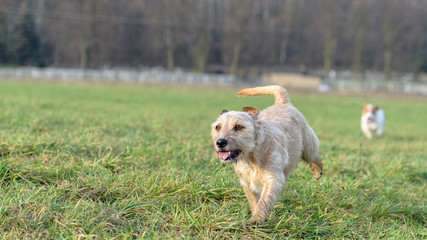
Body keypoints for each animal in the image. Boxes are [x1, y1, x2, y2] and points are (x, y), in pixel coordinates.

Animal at [212, 85, 322, 222]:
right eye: (217, 127)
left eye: (238, 127)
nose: (220, 142)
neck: (251, 158)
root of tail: (282, 103)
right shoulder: (246, 182)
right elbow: (254, 201)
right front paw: (255, 216)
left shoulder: (272, 179)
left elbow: (264, 201)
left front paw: (257, 220)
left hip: (308, 145)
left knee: (314, 156)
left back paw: (317, 171)